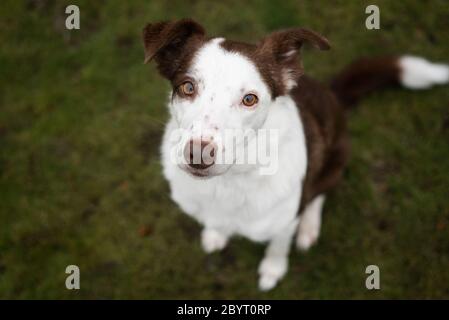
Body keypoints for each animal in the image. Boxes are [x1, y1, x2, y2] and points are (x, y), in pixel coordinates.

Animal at [141, 18, 448, 292]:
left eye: (249, 99)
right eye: (187, 87)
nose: (198, 156)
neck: (230, 181)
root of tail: (332, 95)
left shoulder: (285, 221)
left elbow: (278, 245)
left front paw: (273, 270)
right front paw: (215, 234)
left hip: (335, 161)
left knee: (319, 193)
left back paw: (309, 227)